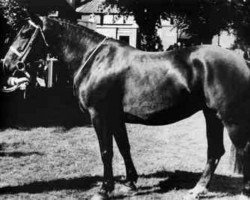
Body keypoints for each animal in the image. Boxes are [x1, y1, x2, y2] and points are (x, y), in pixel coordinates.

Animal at [1, 16, 250, 198]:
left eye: (25, 33)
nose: (7, 64)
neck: (94, 60)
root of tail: (242, 61)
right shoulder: (116, 117)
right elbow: (123, 148)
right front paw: (130, 182)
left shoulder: (99, 115)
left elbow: (106, 151)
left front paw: (104, 190)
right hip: (212, 115)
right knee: (215, 151)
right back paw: (199, 188)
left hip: (231, 118)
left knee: (243, 149)